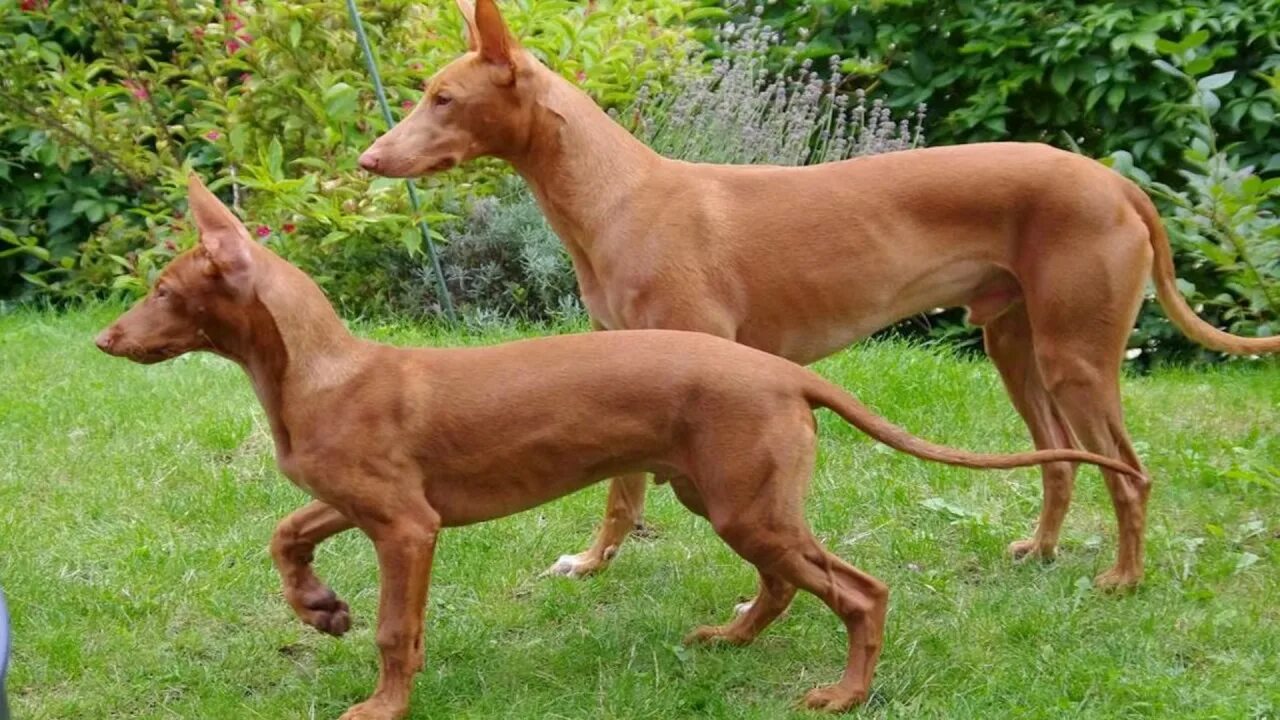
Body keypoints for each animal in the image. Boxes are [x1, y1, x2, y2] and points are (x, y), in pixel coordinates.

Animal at [97, 176, 1141, 712]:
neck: (322, 371)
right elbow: (285, 535)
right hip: (722, 497)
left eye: (164, 289)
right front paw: (318, 609)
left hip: (746, 503)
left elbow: (397, 630)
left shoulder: (406, 527)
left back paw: (843, 695)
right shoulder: (364, 502)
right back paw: (732, 637)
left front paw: (381, 704)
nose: (104, 340)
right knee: (783, 584)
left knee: (859, 590)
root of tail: (783, 374)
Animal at [355, 0, 1280, 589]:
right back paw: (1045, 554)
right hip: (1017, 347)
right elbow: (624, 494)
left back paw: (1123, 579)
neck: (617, 196)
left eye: (443, 98)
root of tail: (1116, 182)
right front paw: (597, 562)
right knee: (1060, 461)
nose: (367, 160)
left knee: (1130, 474)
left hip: (1076, 358)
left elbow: (626, 493)